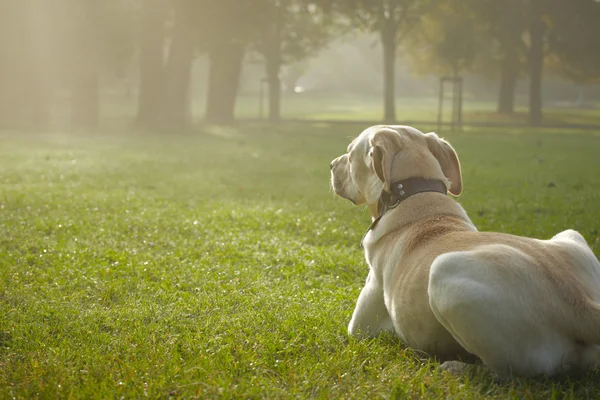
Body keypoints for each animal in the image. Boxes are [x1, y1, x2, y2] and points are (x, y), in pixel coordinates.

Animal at [328, 125, 600, 378]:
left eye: (350, 154)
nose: (330, 164)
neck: (416, 196)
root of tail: (580, 305)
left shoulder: (361, 327)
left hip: (443, 272)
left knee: (504, 372)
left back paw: (458, 367)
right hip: (570, 235)